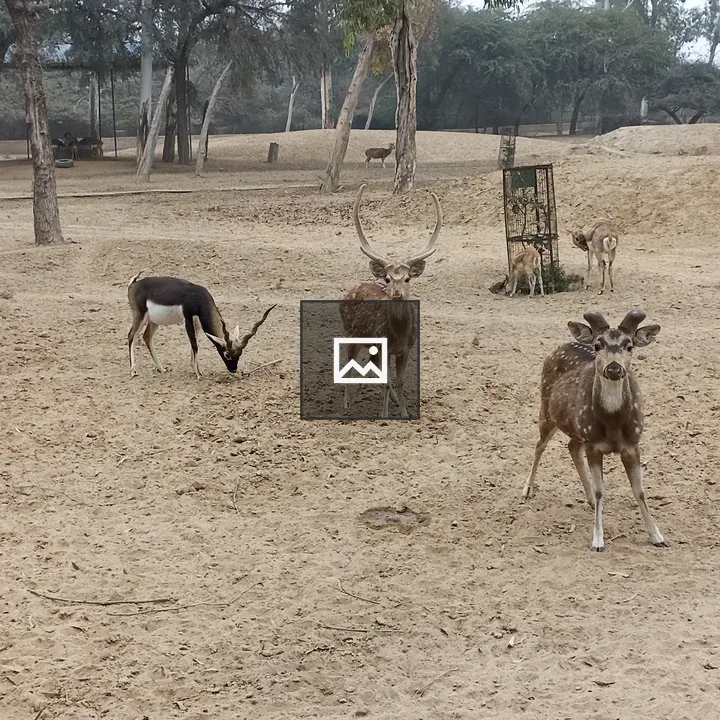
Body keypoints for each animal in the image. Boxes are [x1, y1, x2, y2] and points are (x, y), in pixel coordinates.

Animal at [127, 272, 276, 380]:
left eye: (240, 353)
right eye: (227, 354)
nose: (233, 369)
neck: (198, 297)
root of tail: (134, 284)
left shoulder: (197, 321)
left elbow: (194, 343)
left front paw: (194, 369)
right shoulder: (188, 318)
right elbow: (194, 344)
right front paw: (199, 374)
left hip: (154, 321)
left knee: (146, 337)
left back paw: (161, 368)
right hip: (140, 316)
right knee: (131, 335)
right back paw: (133, 371)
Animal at [339, 183, 442, 419]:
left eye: (407, 278)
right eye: (386, 278)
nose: (396, 293)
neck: (398, 336)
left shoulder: (406, 349)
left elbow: (400, 381)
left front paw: (404, 412)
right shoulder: (382, 345)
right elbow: (386, 380)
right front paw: (384, 415)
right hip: (350, 333)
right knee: (347, 362)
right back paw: (347, 403)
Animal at [521, 309, 666, 553]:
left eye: (629, 346)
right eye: (598, 345)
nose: (614, 368)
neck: (613, 425)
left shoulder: (632, 444)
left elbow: (640, 491)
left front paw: (657, 536)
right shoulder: (593, 444)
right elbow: (601, 490)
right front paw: (597, 540)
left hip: (576, 429)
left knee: (571, 447)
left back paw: (588, 500)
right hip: (547, 411)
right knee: (539, 445)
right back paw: (527, 490)